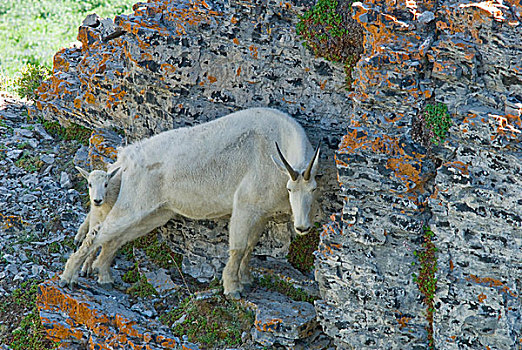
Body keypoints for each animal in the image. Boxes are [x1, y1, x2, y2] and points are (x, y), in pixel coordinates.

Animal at [61, 107, 320, 298]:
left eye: (314, 189)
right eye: (290, 189)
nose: (302, 227)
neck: (275, 145)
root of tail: (125, 160)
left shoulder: (261, 213)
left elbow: (250, 247)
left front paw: (246, 280)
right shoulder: (244, 206)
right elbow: (237, 248)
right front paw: (232, 289)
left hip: (155, 213)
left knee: (116, 239)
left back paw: (104, 277)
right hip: (132, 204)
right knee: (98, 233)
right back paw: (68, 277)